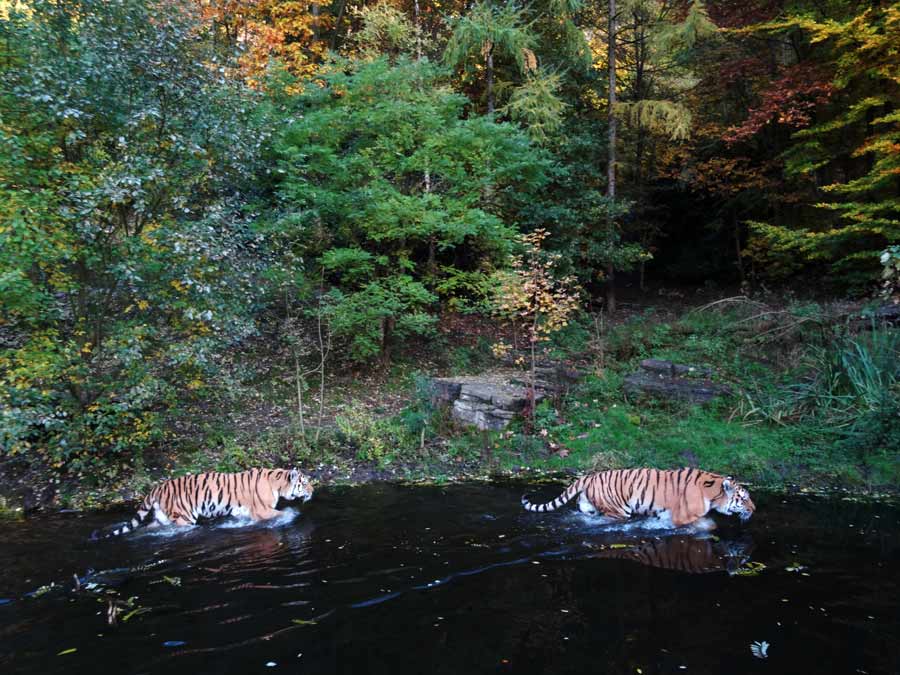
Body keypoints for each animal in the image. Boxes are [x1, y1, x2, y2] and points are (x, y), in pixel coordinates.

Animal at [91, 468, 314, 540]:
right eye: (304, 483)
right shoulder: (262, 511)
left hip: (162, 518)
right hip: (184, 517)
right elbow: (280, 514)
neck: (278, 482)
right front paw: (290, 514)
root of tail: (157, 487)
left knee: (150, 527)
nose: (312, 491)